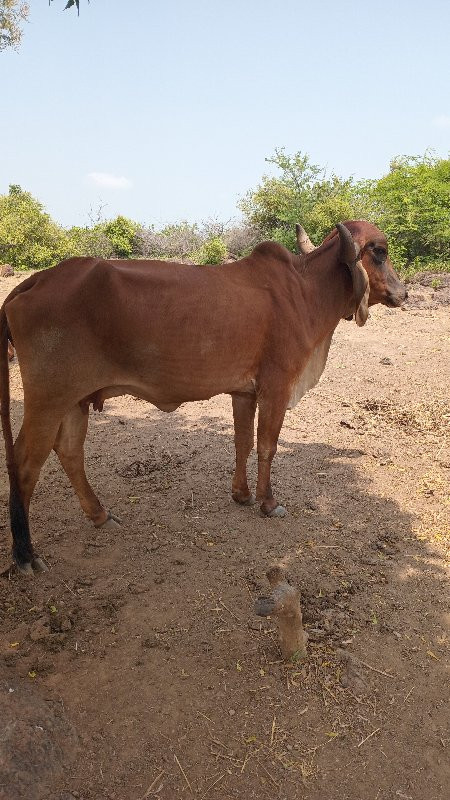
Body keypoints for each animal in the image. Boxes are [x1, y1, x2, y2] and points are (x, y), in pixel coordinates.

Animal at [0, 222, 406, 572]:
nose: (403, 293)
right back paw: (25, 554)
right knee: (25, 463)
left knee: (69, 452)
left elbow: (243, 442)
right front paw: (268, 502)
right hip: (48, 400)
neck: (305, 291)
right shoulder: (276, 387)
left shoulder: (244, 392)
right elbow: (267, 445)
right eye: (380, 252)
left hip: (75, 400)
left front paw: (242, 494)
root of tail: (35, 281)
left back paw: (100, 515)